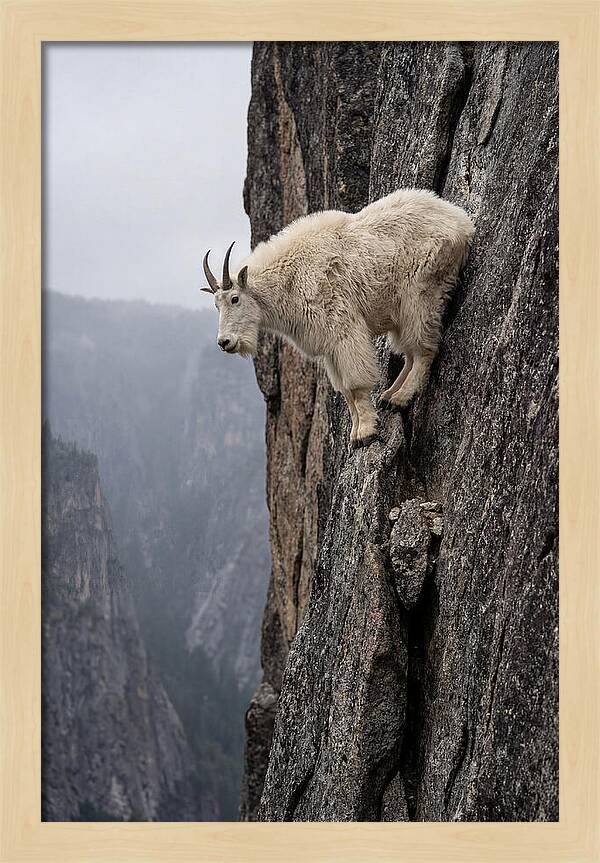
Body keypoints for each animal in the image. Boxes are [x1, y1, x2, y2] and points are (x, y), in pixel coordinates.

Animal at [201, 189, 474, 447]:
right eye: (216, 305)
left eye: (234, 299)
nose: (224, 342)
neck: (289, 280)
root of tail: (461, 221)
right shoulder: (329, 347)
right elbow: (344, 391)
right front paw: (355, 433)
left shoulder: (343, 329)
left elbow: (355, 384)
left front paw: (366, 432)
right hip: (401, 310)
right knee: (409, 351)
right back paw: (389, 395)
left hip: (421, 293)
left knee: (424, 348)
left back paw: (400, 398)